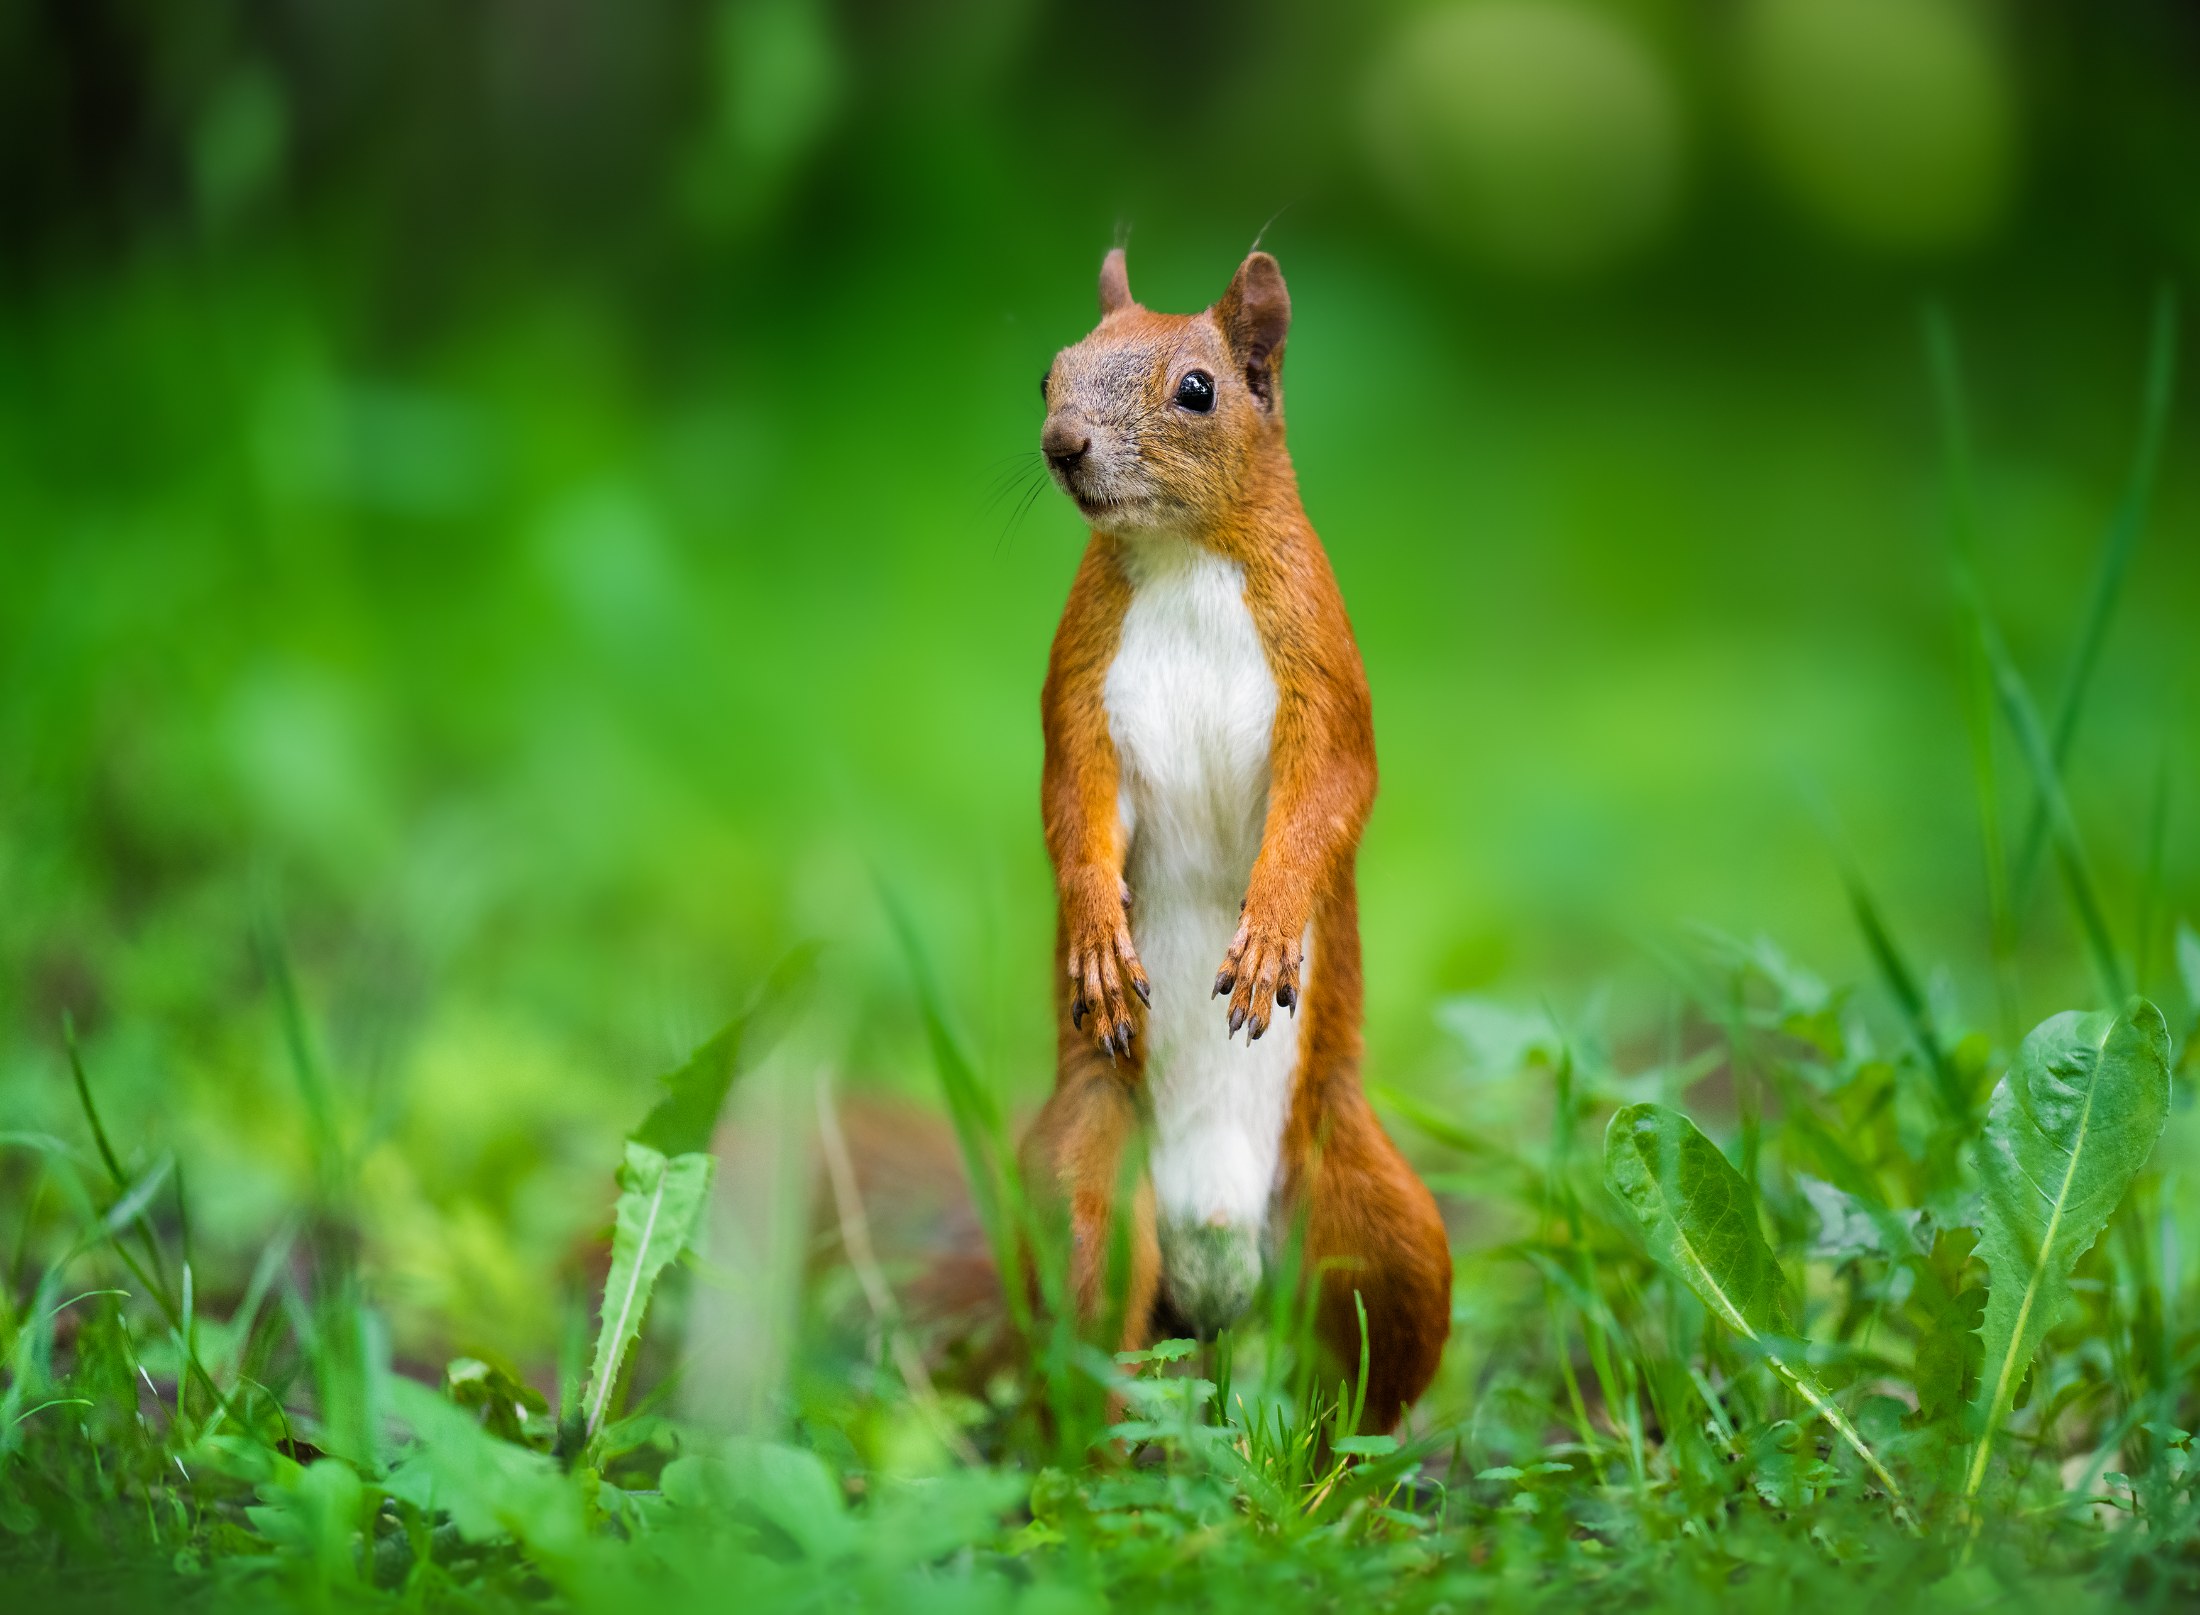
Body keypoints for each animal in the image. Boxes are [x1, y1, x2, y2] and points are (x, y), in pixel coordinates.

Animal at [1017, 248, 1451, 1432]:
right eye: (1048, 372)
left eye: (1198, 389)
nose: (1060, 443)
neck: (1179, 558)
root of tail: (1215, 1286)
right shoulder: (1080, 697)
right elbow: (1072, 807)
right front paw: (1096, 936)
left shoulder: (1324, 679)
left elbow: (1327, 801)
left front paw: (1267, 935)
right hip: (1083, 1194)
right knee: (1091, 1349)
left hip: (1380, 1223)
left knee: (1363, 1381)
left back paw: (1340, 1467)